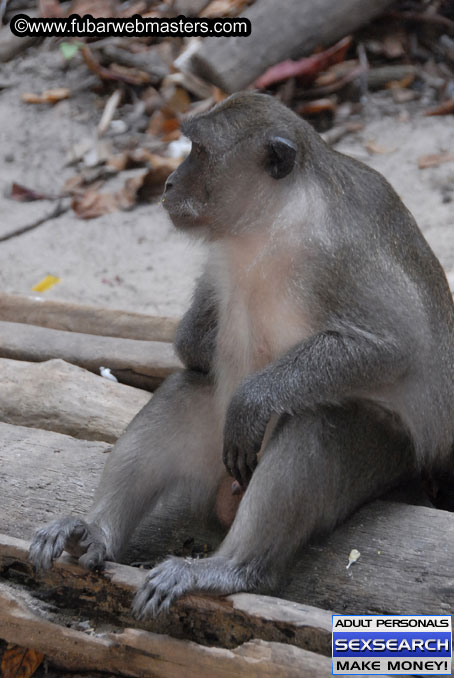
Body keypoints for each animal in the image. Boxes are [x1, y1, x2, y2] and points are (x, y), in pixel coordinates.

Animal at [28, 93, 454, 620]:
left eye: (200, 151)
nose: (168, 183)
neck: (270, 222)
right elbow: (192, 348)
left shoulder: (338, 249)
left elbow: (393, 346)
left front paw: (254, 400)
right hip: (218, 462)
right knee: (190, 388)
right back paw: (95, 532)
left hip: (387, 458)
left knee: (320, 420)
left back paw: (234, 568)